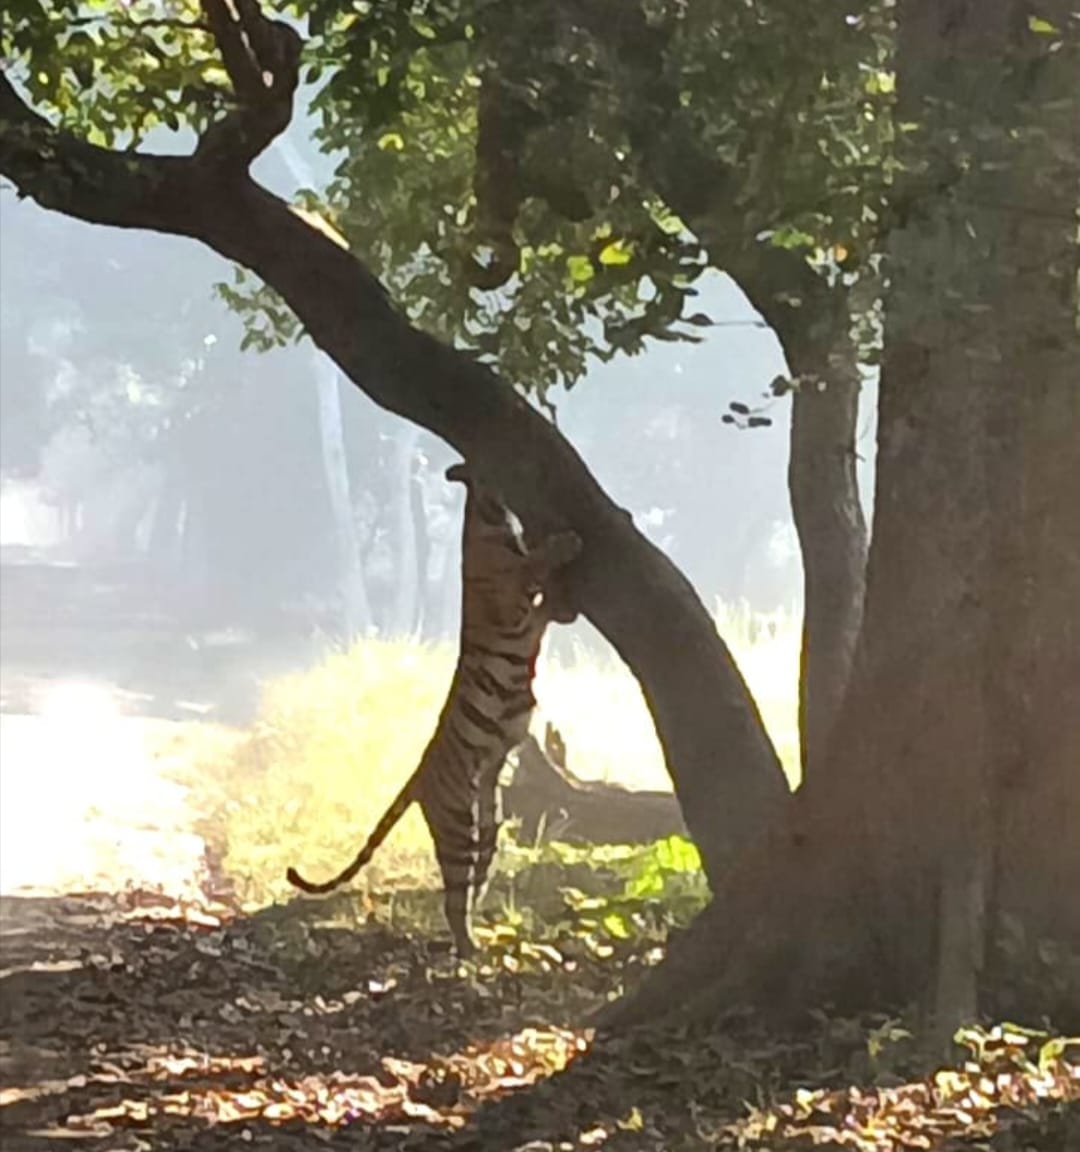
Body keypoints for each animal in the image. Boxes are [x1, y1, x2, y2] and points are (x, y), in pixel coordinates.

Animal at [286, 462, 581, 955]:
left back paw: (478, 935)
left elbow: (549, 607)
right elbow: (535, 569)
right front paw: (566, 543)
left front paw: (568, 600)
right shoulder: (513, 595)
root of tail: (419, 776)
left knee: (473, 885)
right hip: (461, 824)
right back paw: (469, 949)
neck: (489, 519)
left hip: (489, 826)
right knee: (453, 896)